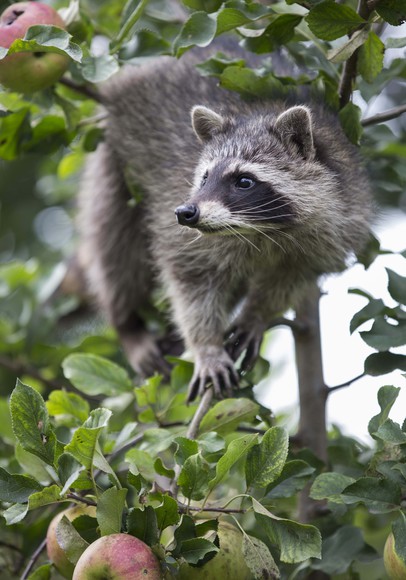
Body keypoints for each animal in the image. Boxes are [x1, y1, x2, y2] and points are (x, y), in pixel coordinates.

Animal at [77, 43, 372, 404]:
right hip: (113, 162)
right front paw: (206, 346)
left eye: (243, 181)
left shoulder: (337, 224)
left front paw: (257, 312)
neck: (263, 229)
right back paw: (127, 322)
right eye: (204, 177)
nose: (185, 213)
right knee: (115, 249)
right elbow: (189, 280)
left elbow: (291, 278)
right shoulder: (182, 224)